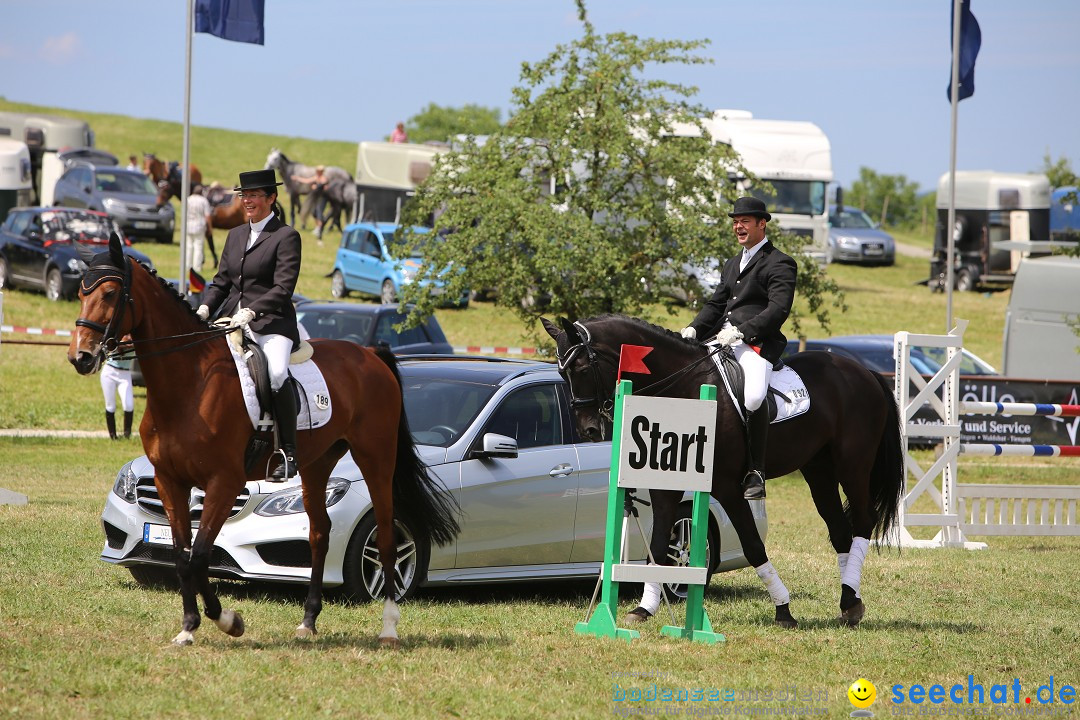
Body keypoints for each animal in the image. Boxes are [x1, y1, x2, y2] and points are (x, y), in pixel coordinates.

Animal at [67, 235, 455, 647]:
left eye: (110, 293)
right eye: (80, 292)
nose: (81, 356)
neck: (190, 384)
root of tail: (369, 354)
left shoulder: (224, 482)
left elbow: (200, 555)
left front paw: (228, 621)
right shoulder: (169, 480)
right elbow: (182, 556)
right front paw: (188, 627)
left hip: (376, 459)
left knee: (384, 538)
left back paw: (389, 627)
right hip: (317, 464)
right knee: (319, 533)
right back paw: (308, 620)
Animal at [540, 313, 902, 626]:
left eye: (582, 368)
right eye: (561, 372)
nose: (589, 430)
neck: (681, 389)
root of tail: (862, 372)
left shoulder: (728, 487)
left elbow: (753, 546)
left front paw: (783, 610)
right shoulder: (665, 485)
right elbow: (657, 546)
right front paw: (643, 609)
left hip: (852, 464)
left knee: (863, 521)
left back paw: (851, 599)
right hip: (818, 469)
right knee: (839, 529)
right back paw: (849, 604)